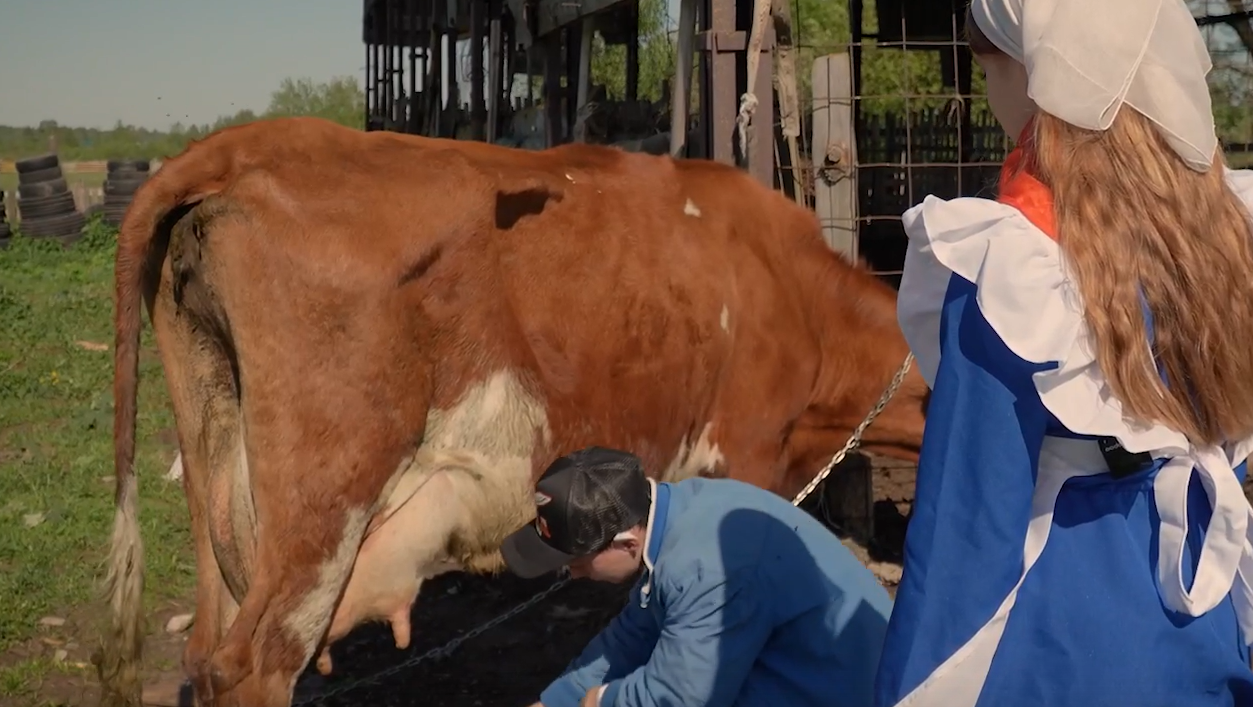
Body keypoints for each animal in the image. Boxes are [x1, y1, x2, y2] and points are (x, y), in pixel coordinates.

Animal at [95, 117, 922, 707]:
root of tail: (244, 142)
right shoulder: (745, 455)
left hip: (216, 471)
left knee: (205, 653)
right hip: (325, 496)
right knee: (253, 663)